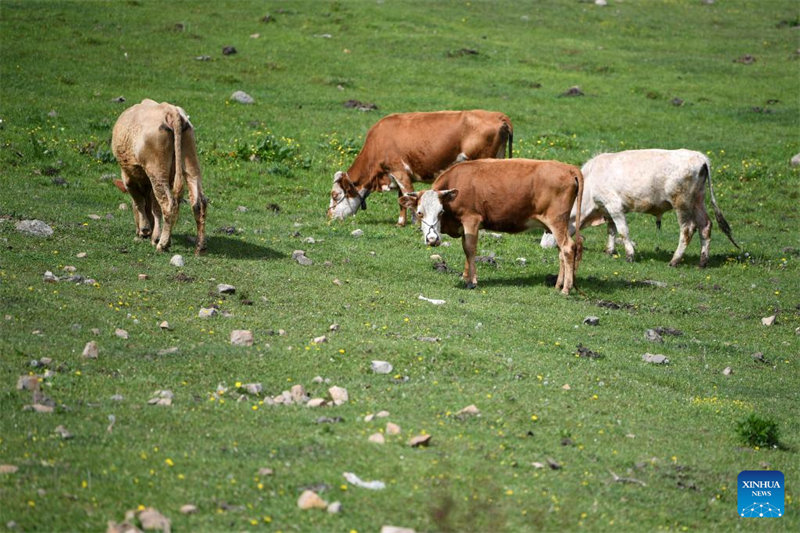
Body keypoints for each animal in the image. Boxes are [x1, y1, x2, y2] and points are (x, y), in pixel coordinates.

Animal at [111, 99, 208, 254]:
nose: (139, 230)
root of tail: (171, 110)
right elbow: (154, 206)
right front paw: (153, 234)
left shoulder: (128, 177)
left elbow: (140, 203)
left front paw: (145, 231)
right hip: (190, 162)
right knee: (199, 202)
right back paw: (200, 246)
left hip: (157, 169)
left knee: (168, 204)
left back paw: (163, 244)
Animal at [330, 108, 512, 224]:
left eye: (335, 195)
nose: (329, 216)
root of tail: (498, 115)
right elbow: (401, 199)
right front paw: (401, 223)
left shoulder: (399, 171)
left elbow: (407, 195)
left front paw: (416, 222)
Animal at [398, 158, 580, 296]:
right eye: (420, 213)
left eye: (441, 212)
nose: (432, 239)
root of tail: (569, 168)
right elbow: (465, 249)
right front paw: (465, 276)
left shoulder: (471, 219)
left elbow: (470, 248)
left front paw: (472, 281)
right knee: (561, 251)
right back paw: (558, 284)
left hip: (556, 221)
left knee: (568, 248)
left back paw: (566, 289)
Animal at [536, 149, 736, 266]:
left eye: (547, 230)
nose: (542, 246)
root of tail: (701, 158)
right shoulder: (607, 209)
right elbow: (611, 230)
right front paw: (610, 251)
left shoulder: (614, 206)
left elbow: (623, 231)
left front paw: (630, 255)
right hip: (698, 201)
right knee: (705, 226)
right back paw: (703, 261)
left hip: (683, 203)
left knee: (688, 229)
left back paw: (675, 260)